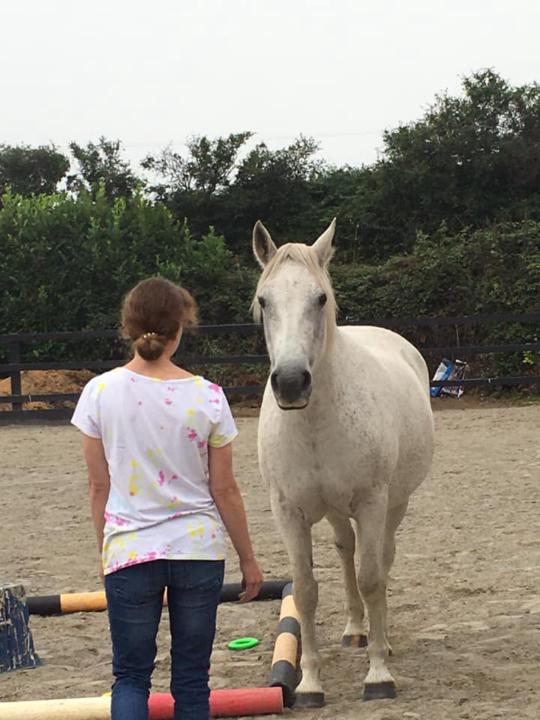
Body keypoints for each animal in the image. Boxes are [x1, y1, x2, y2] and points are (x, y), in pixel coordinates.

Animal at [252, 218, 434, 706]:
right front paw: (310, 683)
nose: (291, 382)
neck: (315, 422)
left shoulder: (372, 502)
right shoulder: (288, 512)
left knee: (381, 559)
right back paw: (356, 630)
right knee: (345, 550)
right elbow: (306, 592)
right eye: (264, 300)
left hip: (394, 504)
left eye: (320, 298)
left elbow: (372, 578)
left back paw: (382, 639)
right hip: (335, 511)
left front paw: (378, 674)